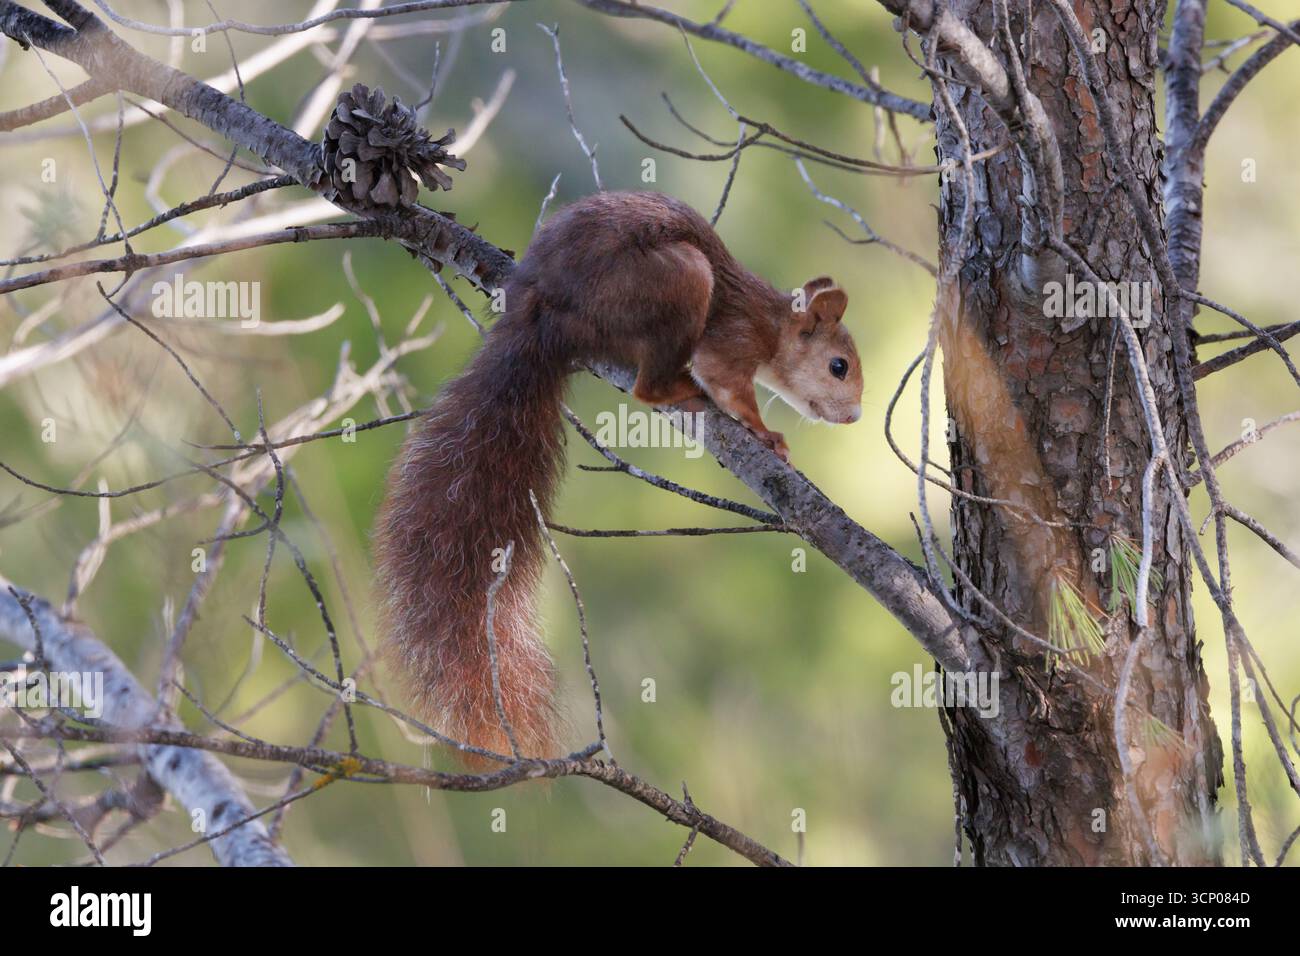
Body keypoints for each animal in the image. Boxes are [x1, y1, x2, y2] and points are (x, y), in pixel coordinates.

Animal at [373, 190, 864, 760]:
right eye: (838, 367)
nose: (855, 417)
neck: (771, 322)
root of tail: (548, 314)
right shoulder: (732, 345)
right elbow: (732, 392)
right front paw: (768, 435)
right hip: (678, 279)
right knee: (649, 387)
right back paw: (676, 388)